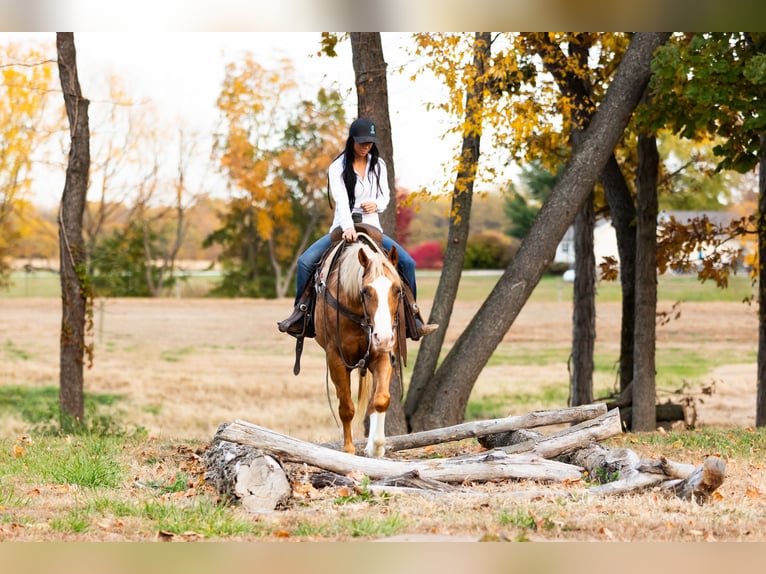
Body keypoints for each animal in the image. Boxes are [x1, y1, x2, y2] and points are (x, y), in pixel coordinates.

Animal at [313, 234, 404, 457]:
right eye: (366, 291)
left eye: (398, 290)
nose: (384, 337)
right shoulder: (336, 359)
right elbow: (346, 407)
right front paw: (348, 449)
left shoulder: (384, 354)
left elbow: (380, 400)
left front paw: (376, 447)